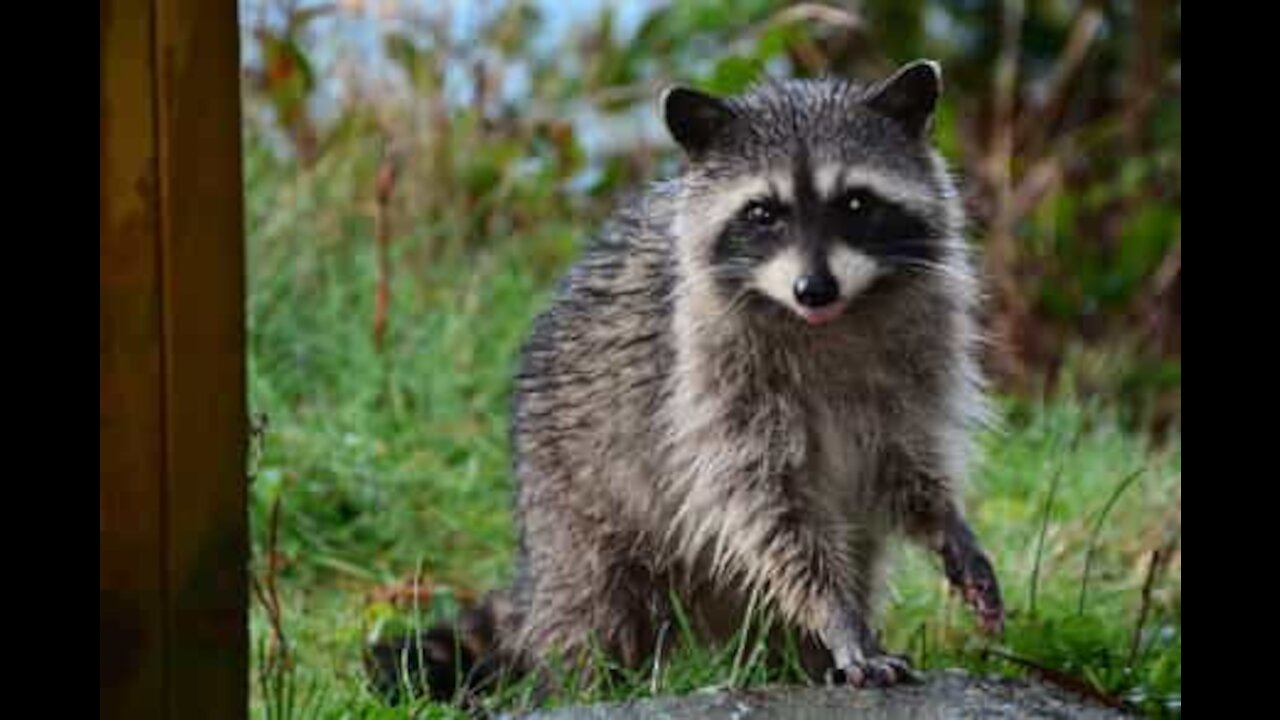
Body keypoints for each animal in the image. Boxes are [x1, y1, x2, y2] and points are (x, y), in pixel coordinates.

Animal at [366, 58, 1003, 702]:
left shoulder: (920, 358)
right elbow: (771, 513)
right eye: (762, 212)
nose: (814, 290)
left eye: (855, 203)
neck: (830, 322)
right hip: (572, 506)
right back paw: (579, 683)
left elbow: (907, 465)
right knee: (589, 611)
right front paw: (838, 619)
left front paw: (947, 524)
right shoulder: (710, 385)